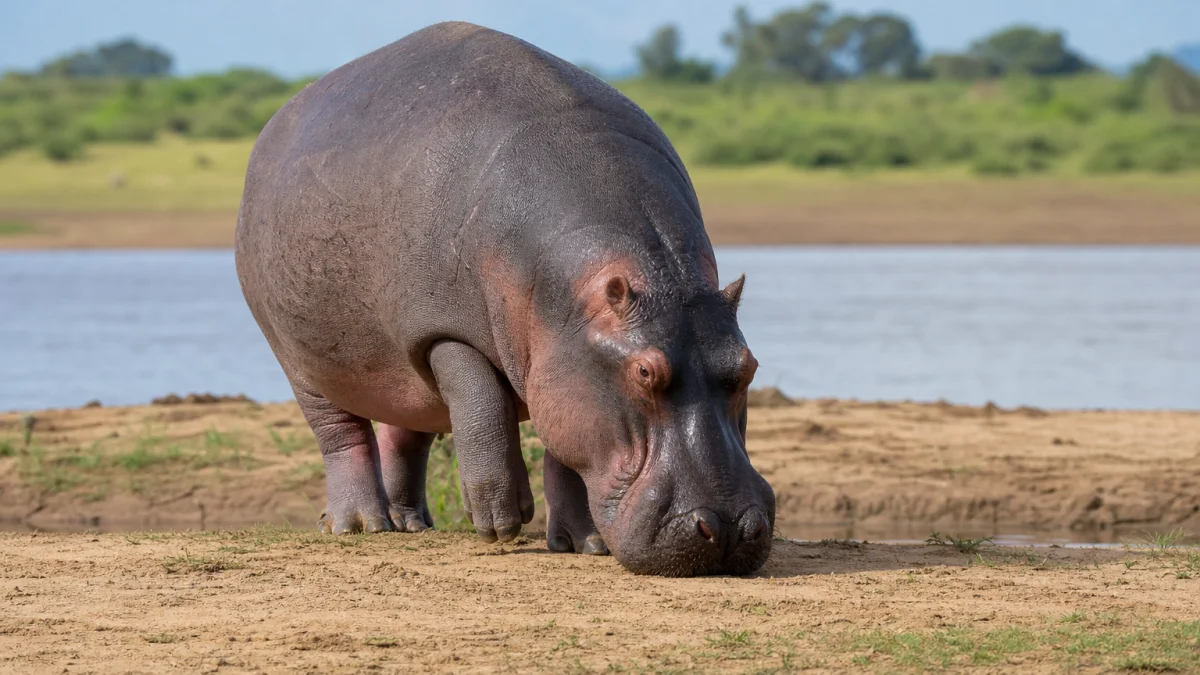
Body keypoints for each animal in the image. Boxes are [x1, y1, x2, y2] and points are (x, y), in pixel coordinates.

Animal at [234, 21, 775, 576]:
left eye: (748, 366)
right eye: (644, 372)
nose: (728, 529)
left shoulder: (564, 363)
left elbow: (567, 456)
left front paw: (584, 543)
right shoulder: (443, 332)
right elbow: (481, 405)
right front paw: (501, 522)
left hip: (401, 369)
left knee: (405, 431)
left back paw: (412, 523)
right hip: (303, 364)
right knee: (342, 436)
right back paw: (360, 525)